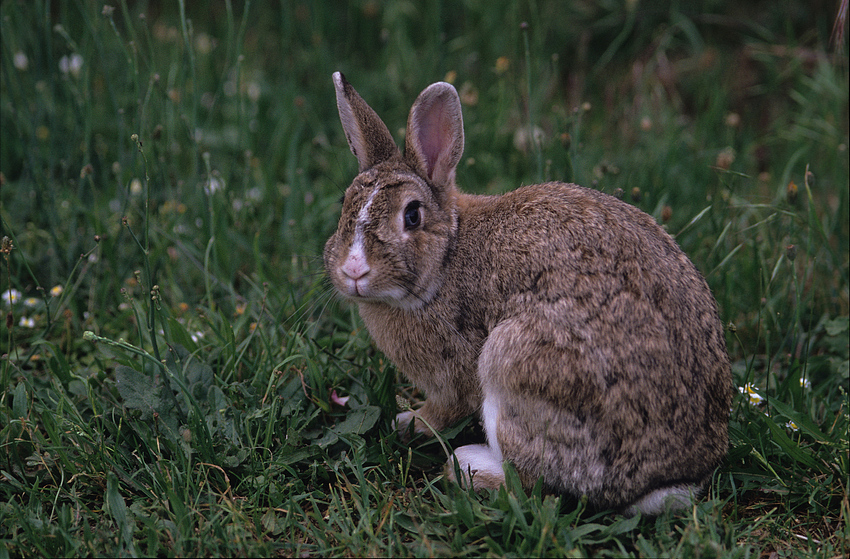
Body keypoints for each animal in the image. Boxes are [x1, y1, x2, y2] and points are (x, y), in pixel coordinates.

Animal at [322, 72, 728, 520]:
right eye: (345, 204)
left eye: (412, 215)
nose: (353, 270)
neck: (448, 255)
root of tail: (663, 482)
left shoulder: (454, 373)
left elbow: (444, 409)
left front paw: (408, 421)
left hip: (516, 367)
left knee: (532, 482)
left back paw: (468, 466)